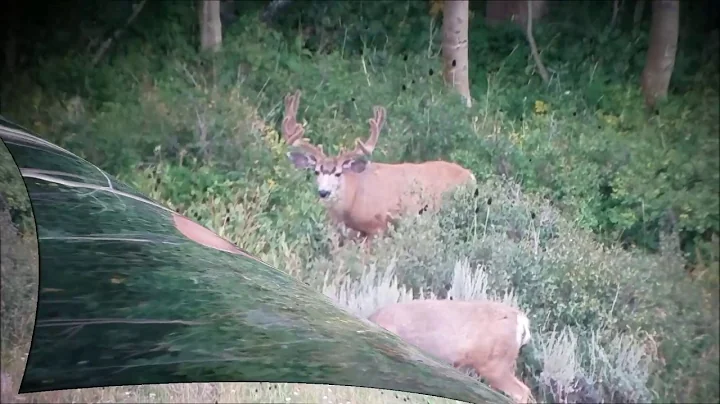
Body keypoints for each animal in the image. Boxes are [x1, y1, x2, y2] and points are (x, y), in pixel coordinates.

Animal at [280, 90, 477, 245]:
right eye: (316, 171)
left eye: (338, 173)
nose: (323, 192)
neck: (353, 199)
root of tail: (471, 177)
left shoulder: (377, 226)